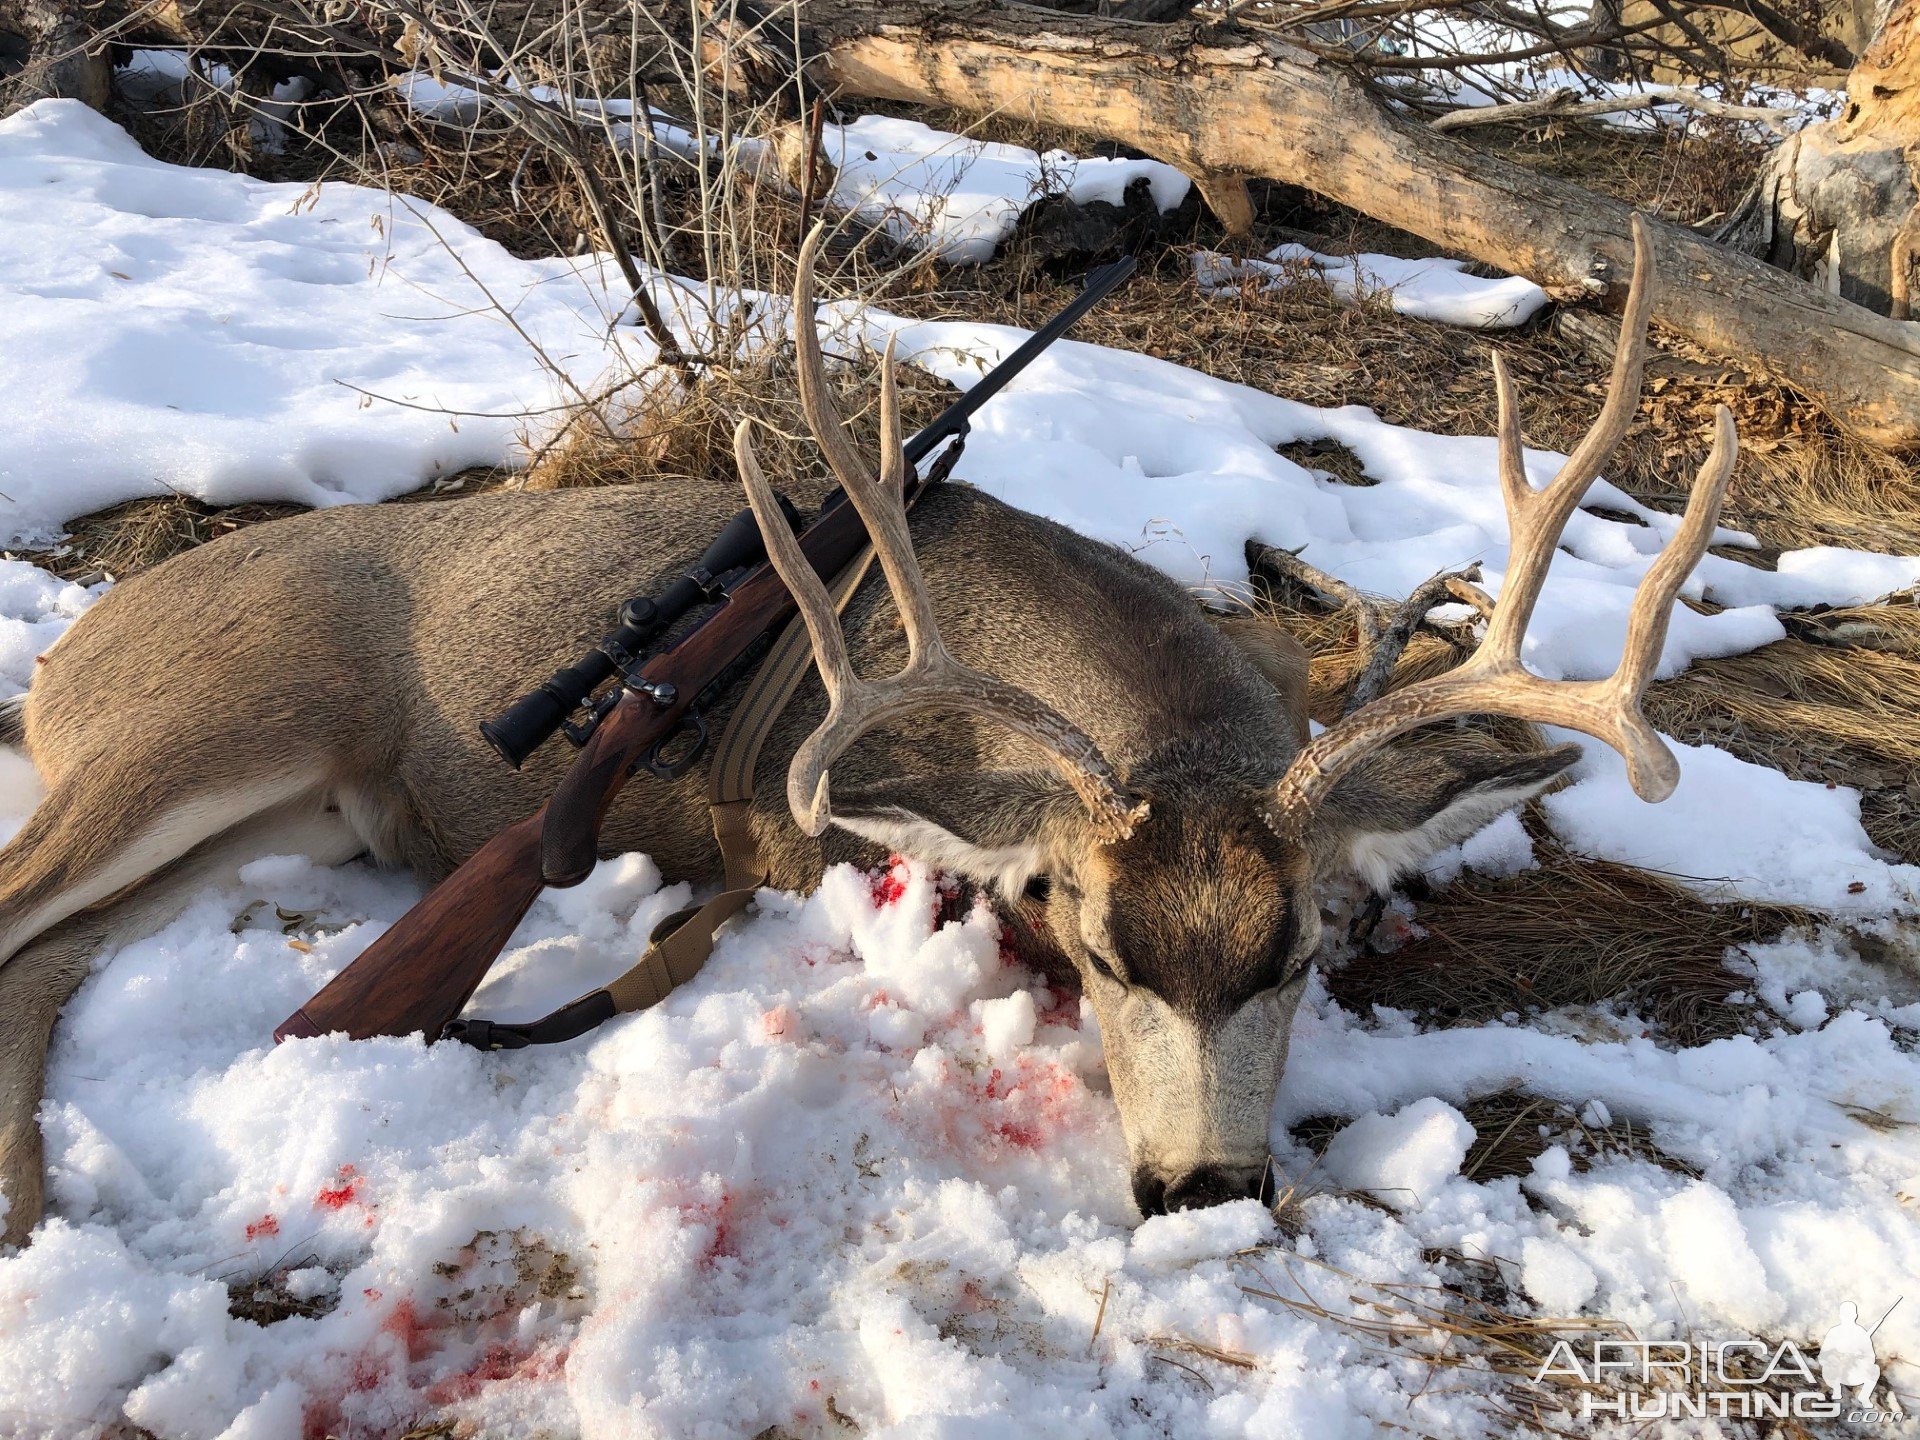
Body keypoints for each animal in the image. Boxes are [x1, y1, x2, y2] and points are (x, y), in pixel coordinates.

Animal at [0, 219, 1728, 1244]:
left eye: (1301, 945)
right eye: (1093, 942)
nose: (1200, 1192)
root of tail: (70, 652)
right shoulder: (790, 829)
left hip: (271, 816)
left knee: (44, 959)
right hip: (201, 733)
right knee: (26, 906)